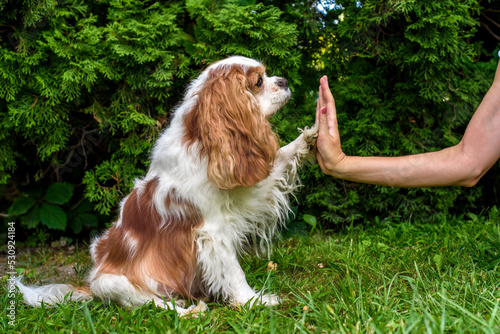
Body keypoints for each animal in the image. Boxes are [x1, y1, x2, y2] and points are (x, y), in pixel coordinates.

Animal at [18, 55, 320, 316]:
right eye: (258, 81)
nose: (284, 81)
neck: (204, 142)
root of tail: (88, 285)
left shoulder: (248, 190)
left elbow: (282, 156)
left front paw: (312, 134)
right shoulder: (212, 232)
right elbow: (234, 273)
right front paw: (253, 301)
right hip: (113, 283)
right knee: (157, 305)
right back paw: (192, 311)